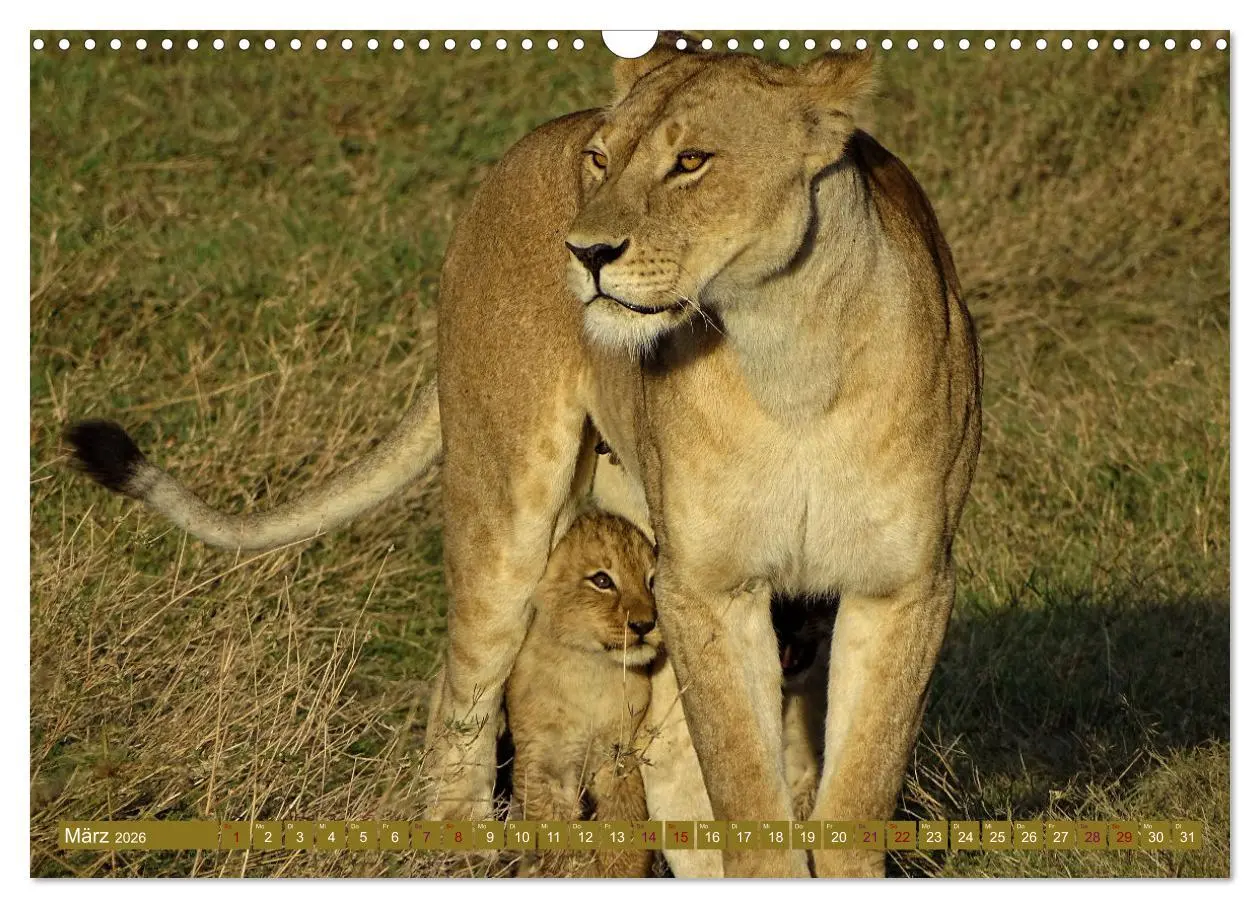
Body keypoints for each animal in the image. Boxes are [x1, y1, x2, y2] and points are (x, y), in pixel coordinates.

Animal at [66, 42, 981, 878]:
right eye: (602, 160)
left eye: (691, 161)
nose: (585, 252)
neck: (790, 355)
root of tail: (513, 158)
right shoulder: (709, 587)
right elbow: (747, 786)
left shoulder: (902, 585)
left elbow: (854, 790)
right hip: (505, 510)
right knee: (463, 691)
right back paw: (462, 853)